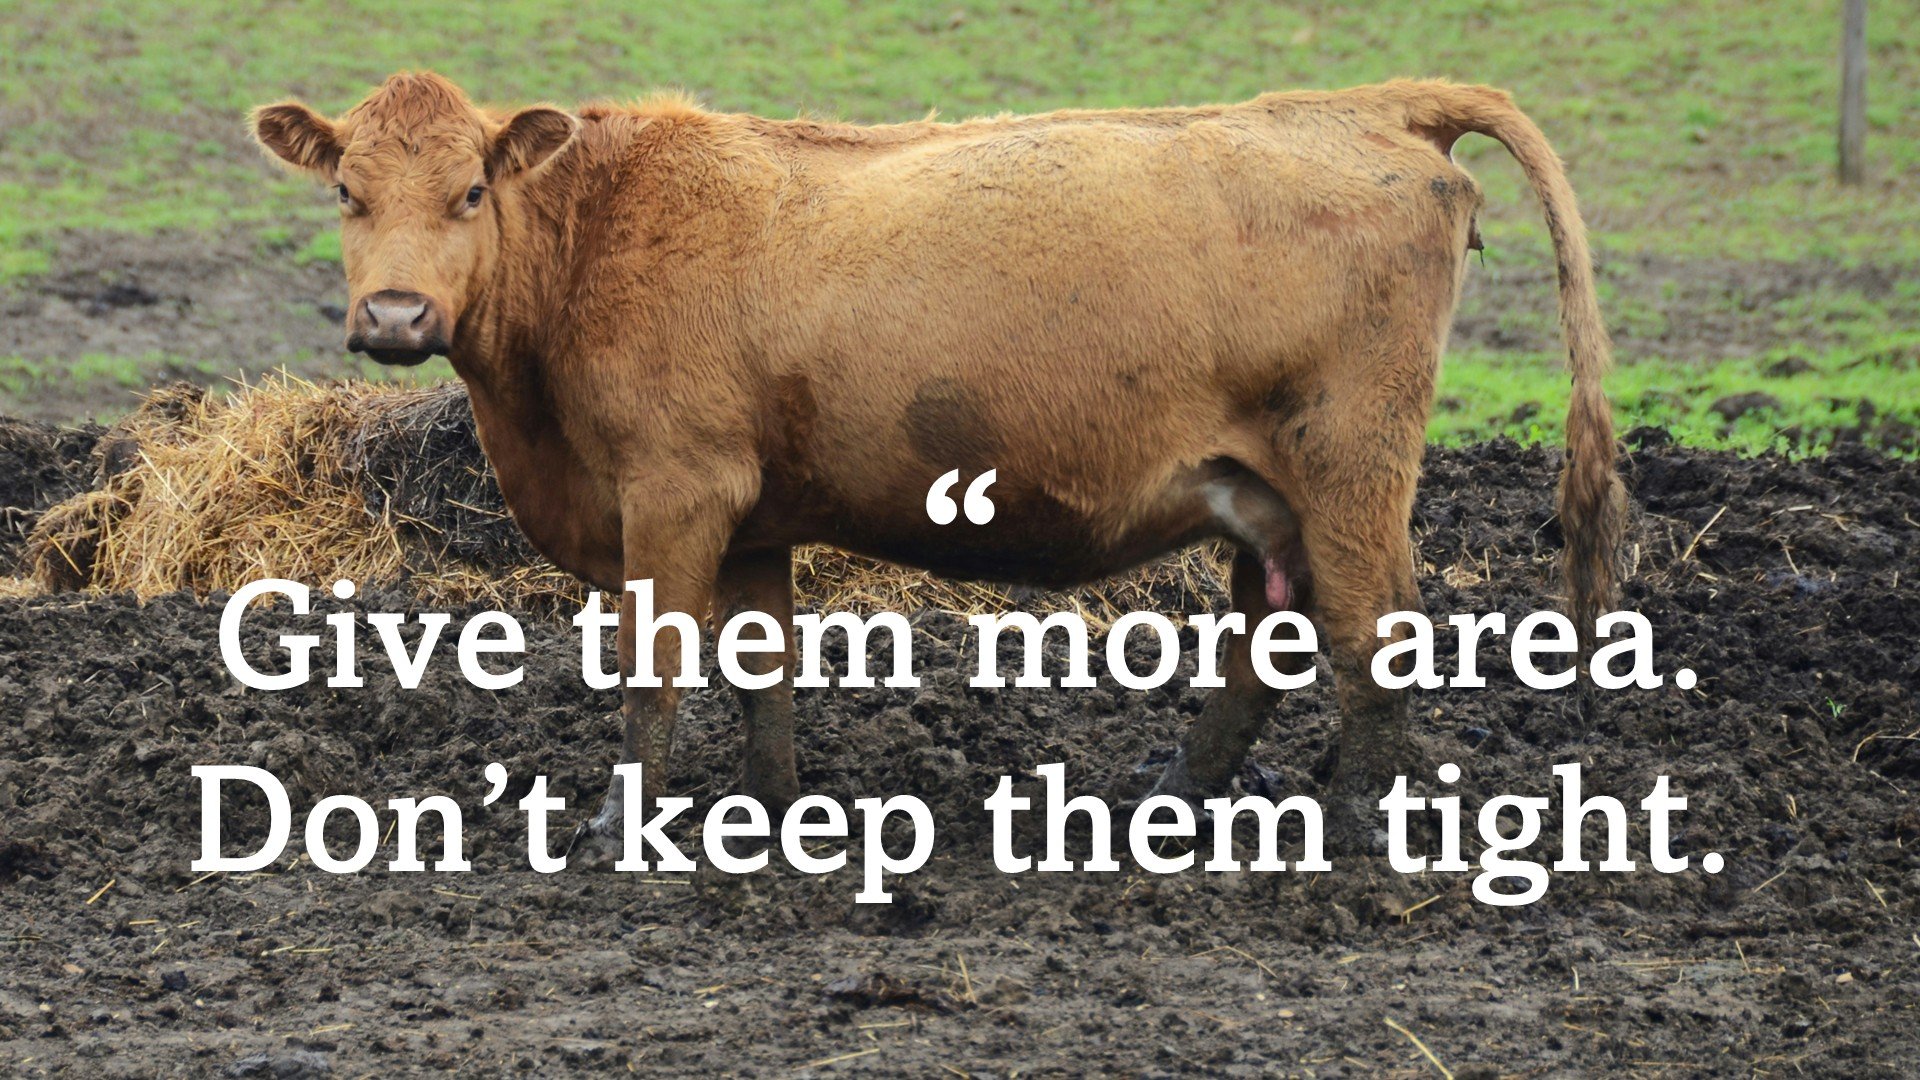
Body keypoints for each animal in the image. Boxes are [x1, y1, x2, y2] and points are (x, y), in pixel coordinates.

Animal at [251, 72, 1622, 843]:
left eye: (472, 192)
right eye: (347, 195)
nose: (394, 319)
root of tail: (1361, 107)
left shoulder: (674, 491)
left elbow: (654, 667)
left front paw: (614, 828)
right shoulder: (752, 512)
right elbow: (763, 669)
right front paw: (772, 810)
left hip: (1348, 465)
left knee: (1371, 627)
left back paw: (1347, 827)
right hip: (1264, 485)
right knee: (1269, 633)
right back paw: (1174, 799)